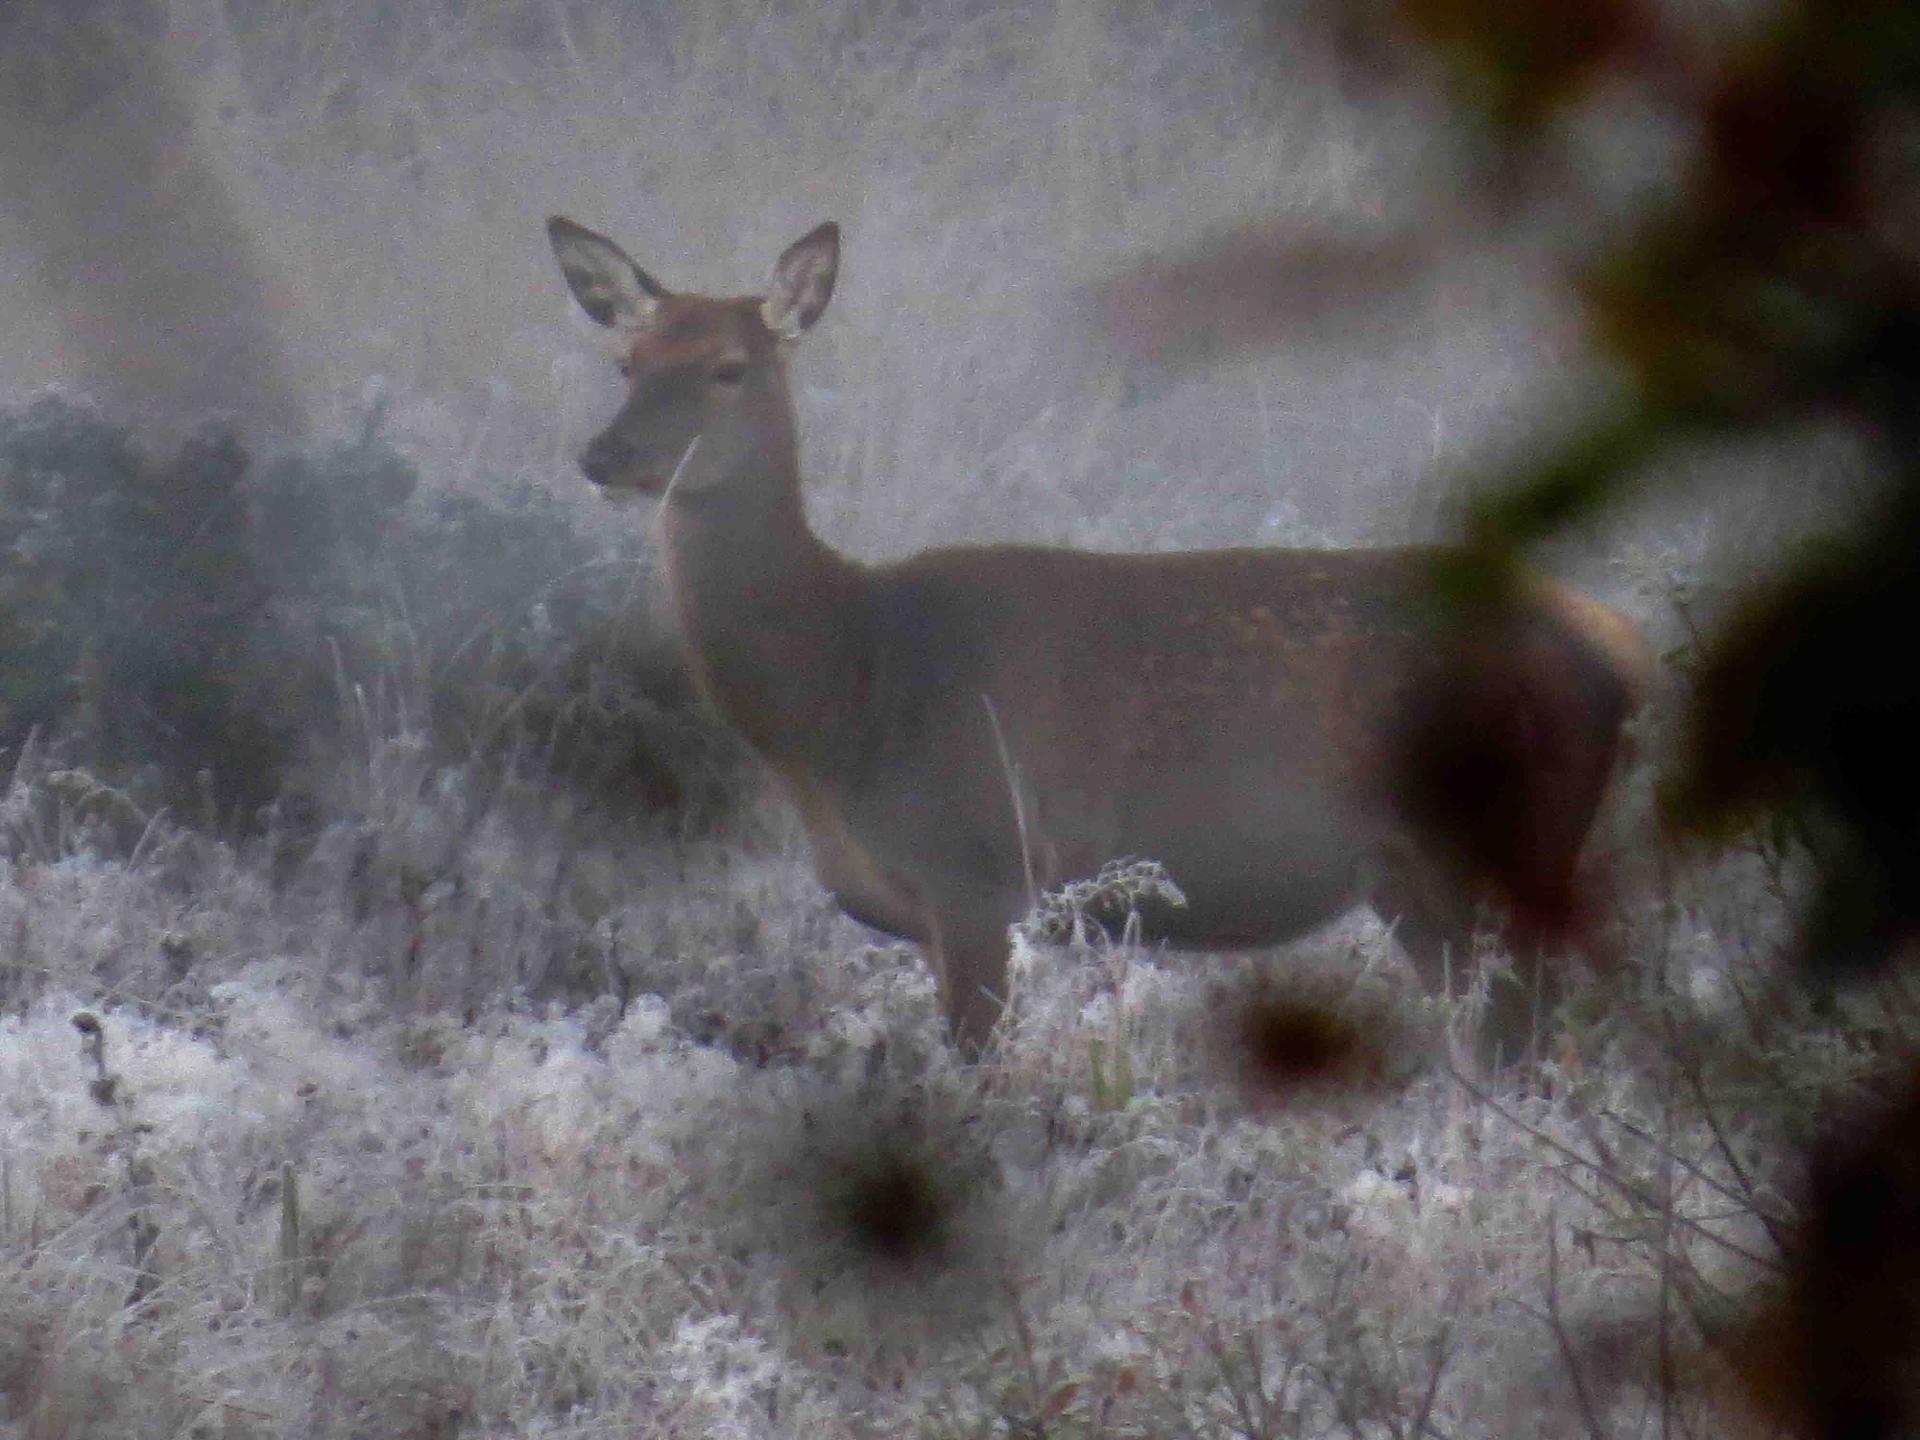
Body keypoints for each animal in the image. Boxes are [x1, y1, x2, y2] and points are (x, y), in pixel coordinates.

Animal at [545, 219, 1651, 1067]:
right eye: (626, 364)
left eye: (729, 369)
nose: (604, 454)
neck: (842, 694)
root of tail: (1616, 646)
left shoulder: (980, 869)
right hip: (1419, 882)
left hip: (1499, 839)